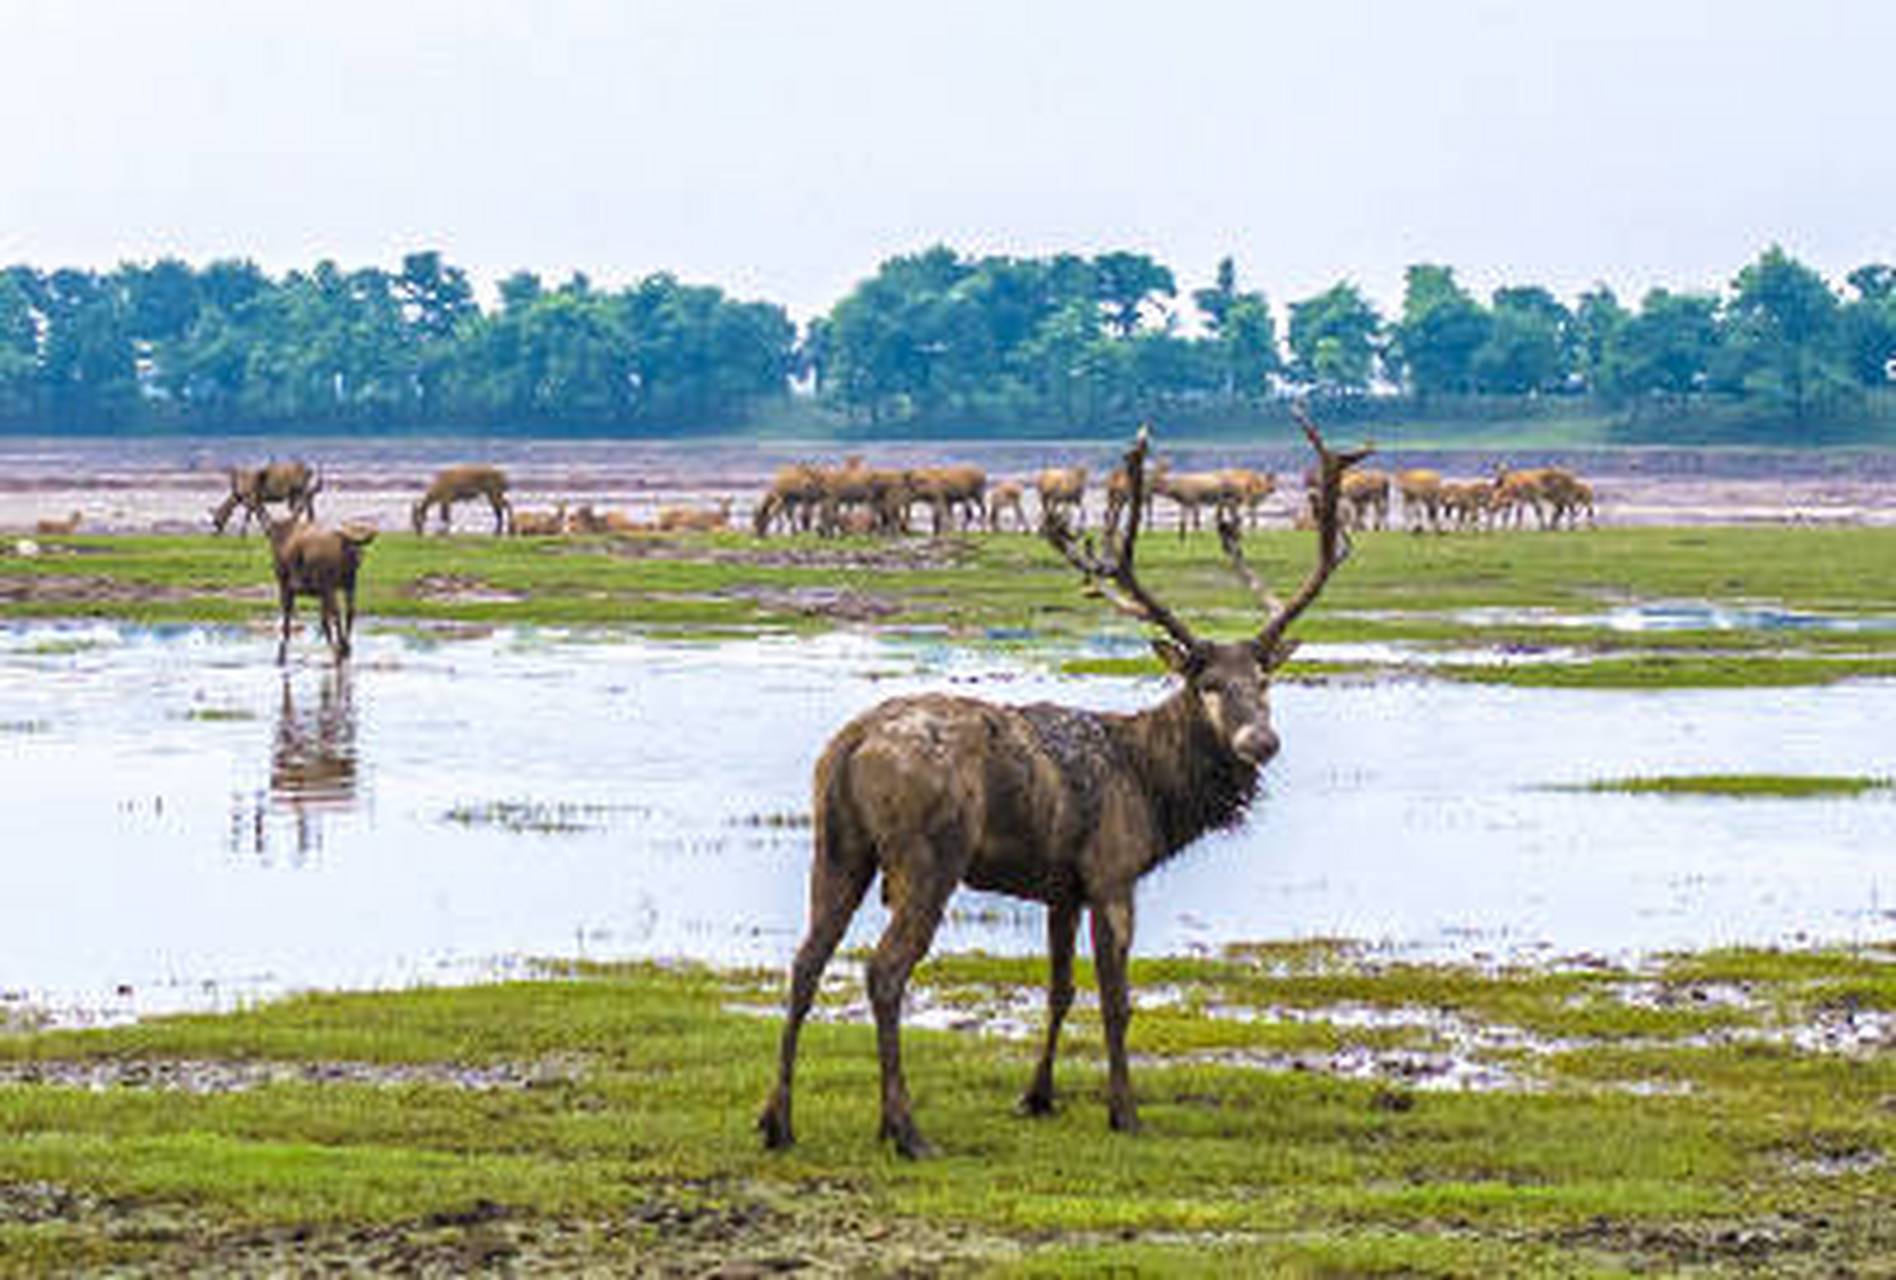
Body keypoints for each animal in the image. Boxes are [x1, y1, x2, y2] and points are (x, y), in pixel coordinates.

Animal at [267, 515, 377, 667]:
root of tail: (346, 540)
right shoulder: (322, 592)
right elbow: (324, 620)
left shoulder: (286, 586)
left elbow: (287, 621)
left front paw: (281, 657)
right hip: (349, 583)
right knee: (350, 611)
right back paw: (346, 647)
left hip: (330, 585)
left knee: (337, 613)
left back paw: (341, 649)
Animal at [762, 411, 1372, 1160]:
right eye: (1206, 684)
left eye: (1264, 681)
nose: (1261, 742)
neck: (1154, 791)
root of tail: (851, 747)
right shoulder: (1112, 869)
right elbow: (1116, 999)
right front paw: (1125, 1111)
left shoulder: (1062, 886)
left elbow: (1058, 989)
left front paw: (1038, 1095)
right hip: (929, 853)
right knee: (885, 971)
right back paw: (905, 1129)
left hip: (837, 843)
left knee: (805, 961)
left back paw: (778, 1121)